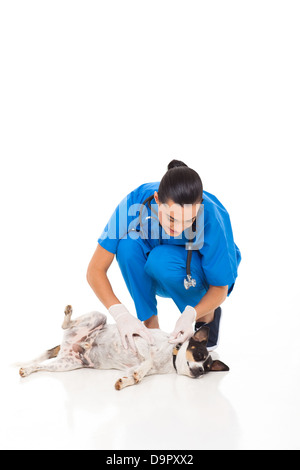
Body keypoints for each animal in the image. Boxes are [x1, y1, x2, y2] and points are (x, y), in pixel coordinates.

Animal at [19, 304, 230, 390]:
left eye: (207, 369)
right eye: (199, 353)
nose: (200, 372)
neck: (169, 358)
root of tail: (67, 344)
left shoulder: (135, 368)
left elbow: (137, 376)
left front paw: (127, 381)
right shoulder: (139, 340)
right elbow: (148, 358)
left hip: (66, 364)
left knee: (39, 366)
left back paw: (27, 369)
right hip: (98, 316)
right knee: (66, 324)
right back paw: (76, 325)